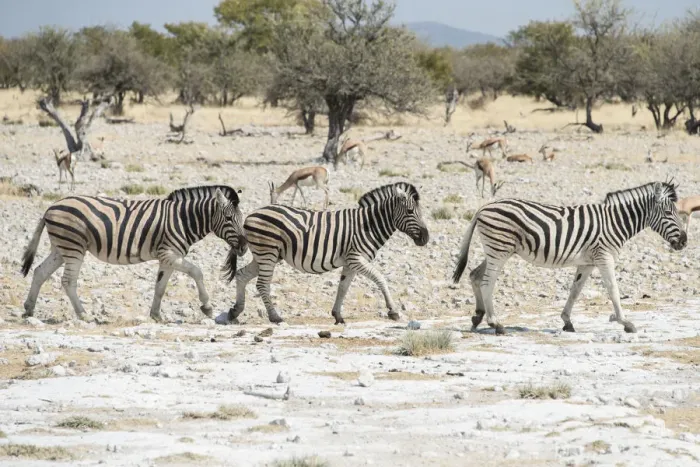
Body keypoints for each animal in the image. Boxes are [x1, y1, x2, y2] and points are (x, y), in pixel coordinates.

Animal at [21, 186, 248, 322]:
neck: (183, 220)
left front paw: (156, 315)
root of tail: (50, 208)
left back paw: (29, 309)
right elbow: (197, 272)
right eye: (229, 218)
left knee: (40, 272)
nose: (245, 247)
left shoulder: (167, 258)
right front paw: (207, 307)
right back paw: (84, 315)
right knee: (68, 281)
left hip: (61, 249)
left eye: (242, 218)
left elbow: (160, 287)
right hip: (74, 247)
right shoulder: (170, 254)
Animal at [227, 182, 429, 325]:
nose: (426, 238)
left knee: (242, 275)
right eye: (410, 211)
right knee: (262, 284)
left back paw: (235, 311)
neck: (369, 225)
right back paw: (275, 317)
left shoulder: (350, 262)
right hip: (268, 253)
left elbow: (343, 287)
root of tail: (251, 215)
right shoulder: (356, 258)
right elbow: (380, 278)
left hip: (265, 255)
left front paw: (338, 315)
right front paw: (393, 310)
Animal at [452, 181, 687, 335]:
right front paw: (625, 322)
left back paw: (478, 316)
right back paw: (496, 324)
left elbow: (575, 291)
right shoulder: (604, 257)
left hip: (497, 250)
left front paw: (567, 322)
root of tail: (483, 207)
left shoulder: (587, 262)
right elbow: (613, 290)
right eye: (669, 213)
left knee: (474, 275)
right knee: (487, 283)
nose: (684, 241)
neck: (614, 222)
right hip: (499, 249)